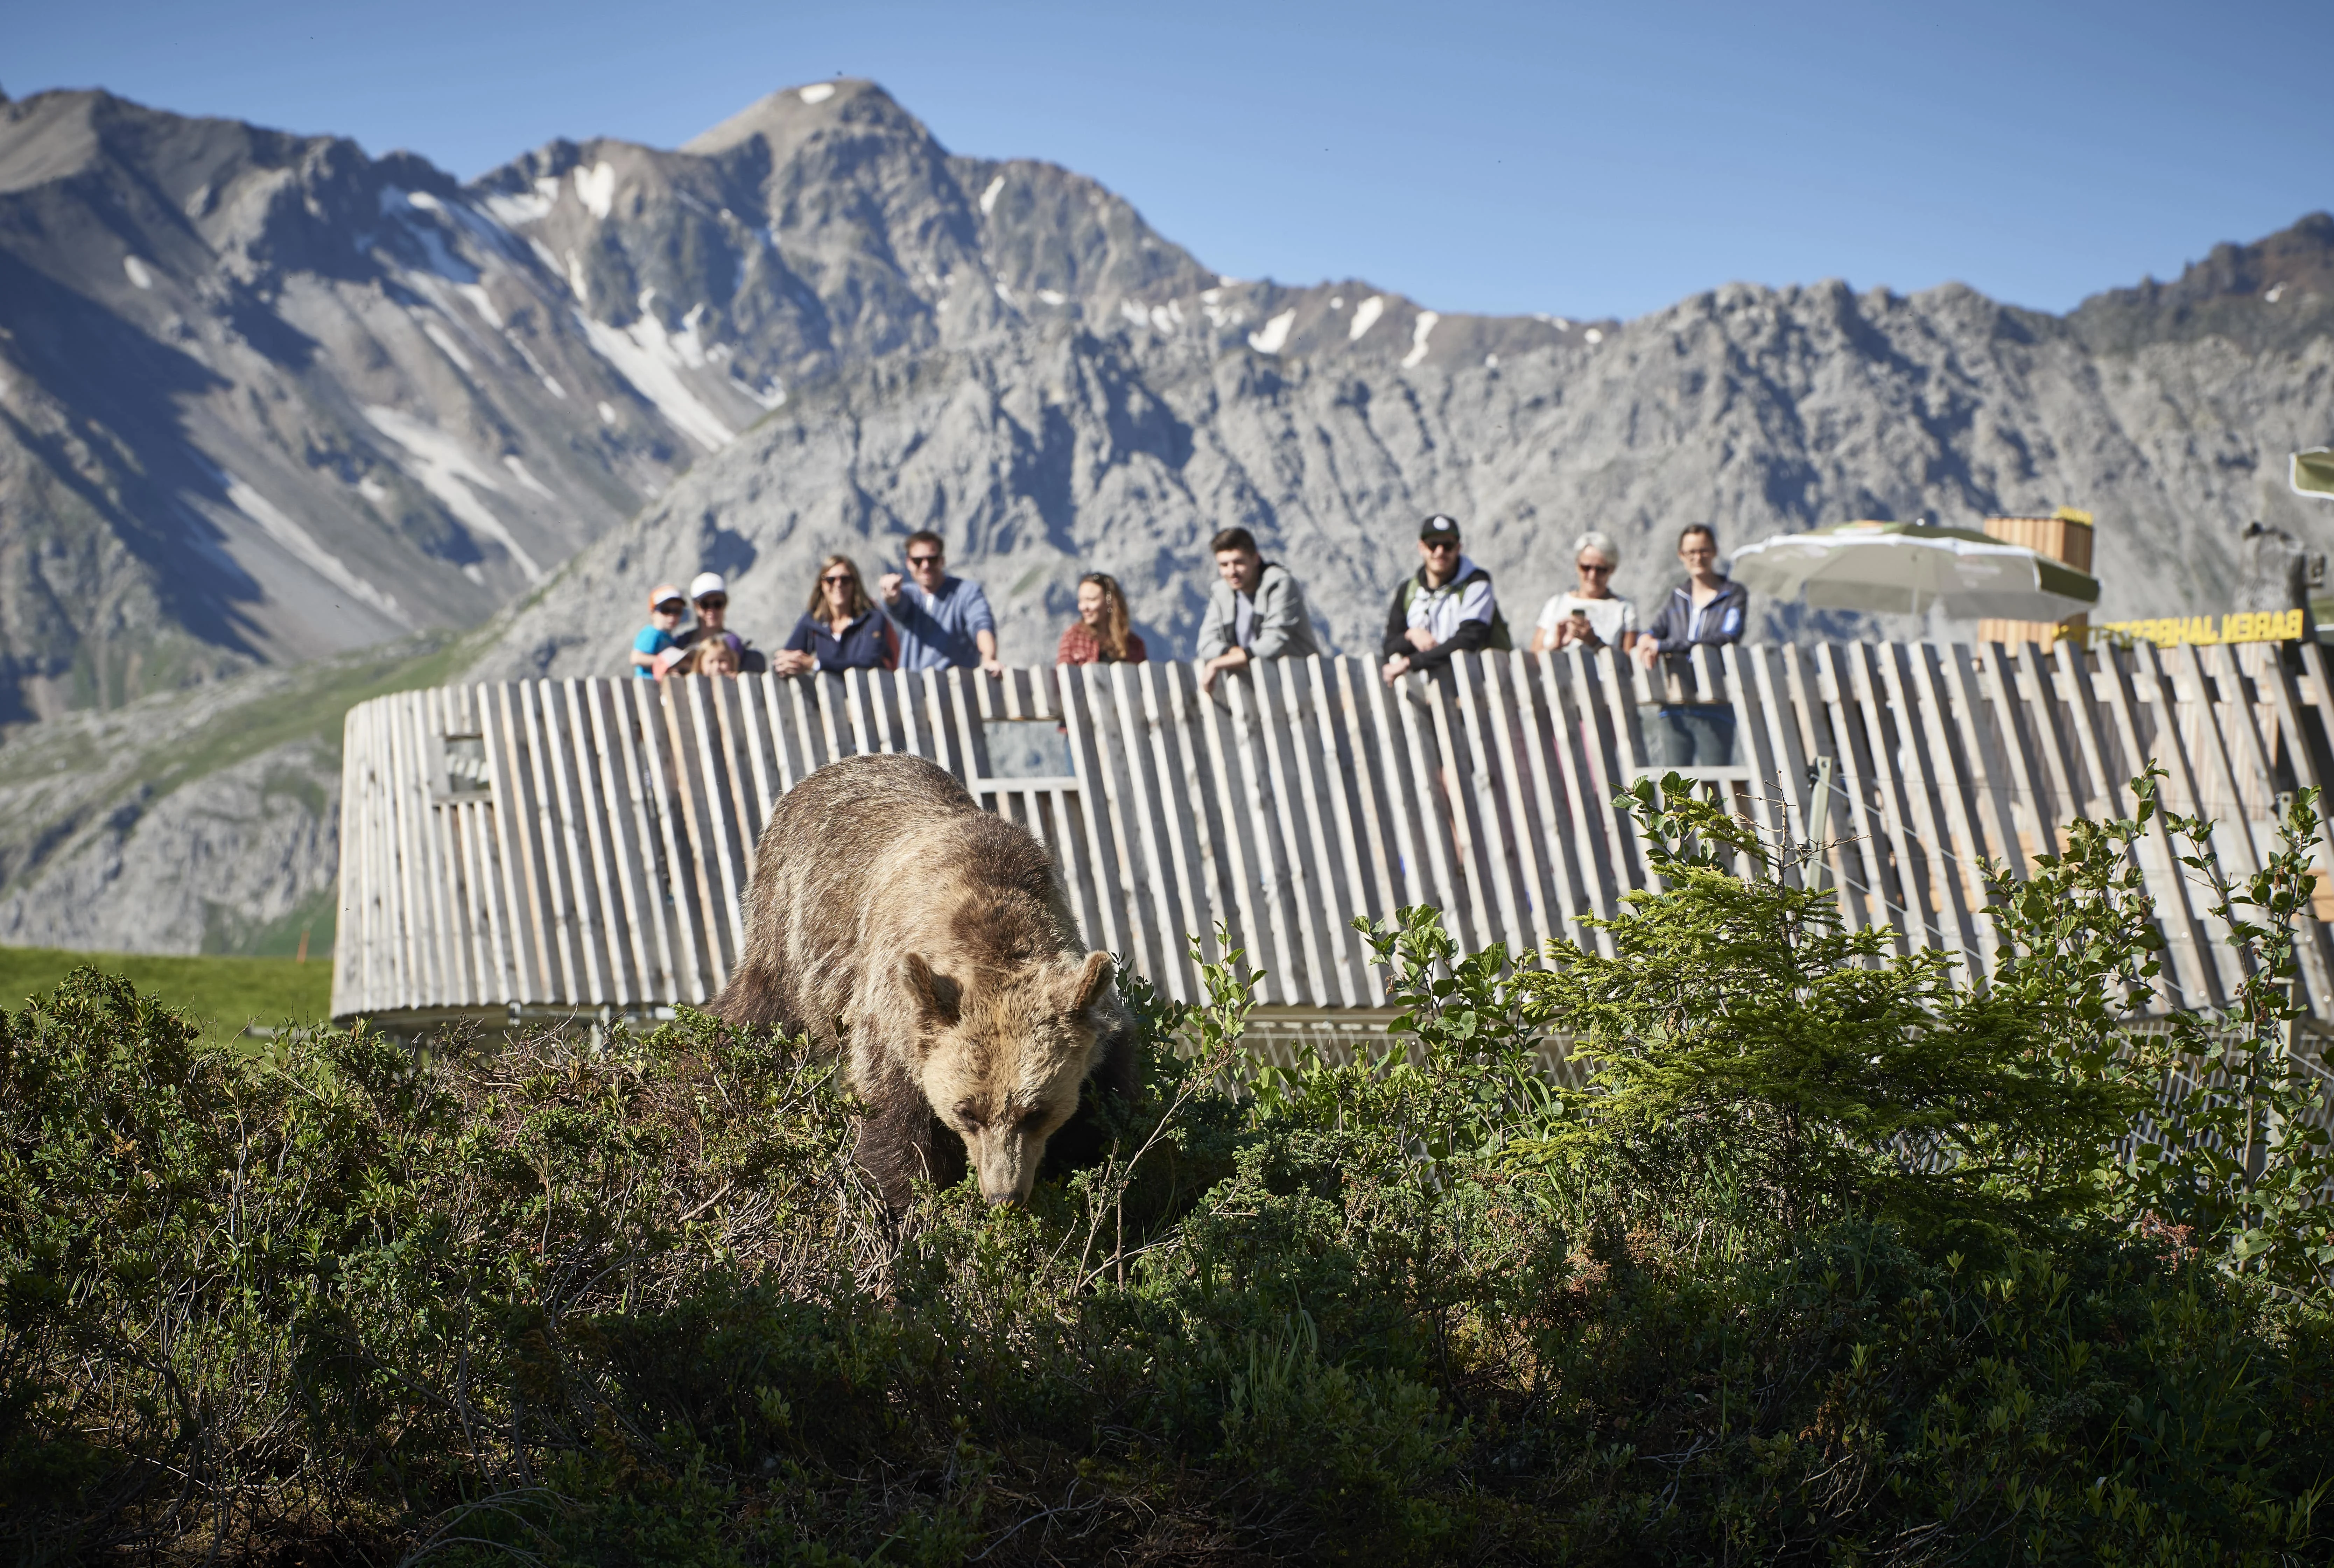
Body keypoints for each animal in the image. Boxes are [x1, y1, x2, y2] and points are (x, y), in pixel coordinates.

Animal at [719, 751, 1139, 1204]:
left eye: (1035, 1111)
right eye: (967, 1112)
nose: (1004, 1195)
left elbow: (1109, 1111)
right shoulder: (893, 1023)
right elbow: (895, 1135)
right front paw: (913, 1202)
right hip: (789, 929)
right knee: (755, 1017)